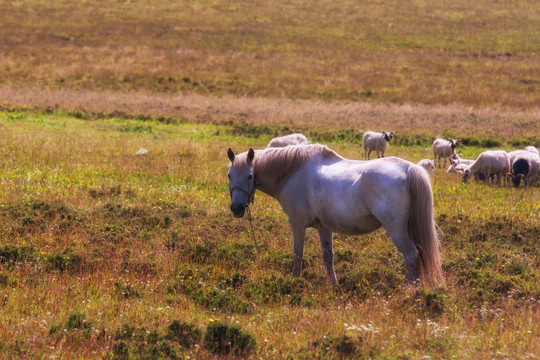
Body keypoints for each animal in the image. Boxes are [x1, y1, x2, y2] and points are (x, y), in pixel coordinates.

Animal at [227, 144, 442, 286]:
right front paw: (334, 284)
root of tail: (408, 168)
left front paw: (294, 281)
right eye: (229, 175)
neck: (293, 172)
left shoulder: (297, 224)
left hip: (396, 230)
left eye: (250, 175)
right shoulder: (323, 228)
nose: (236, 208)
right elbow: (328, 256)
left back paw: (408, 290)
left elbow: (298, 254)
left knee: (411, 256)